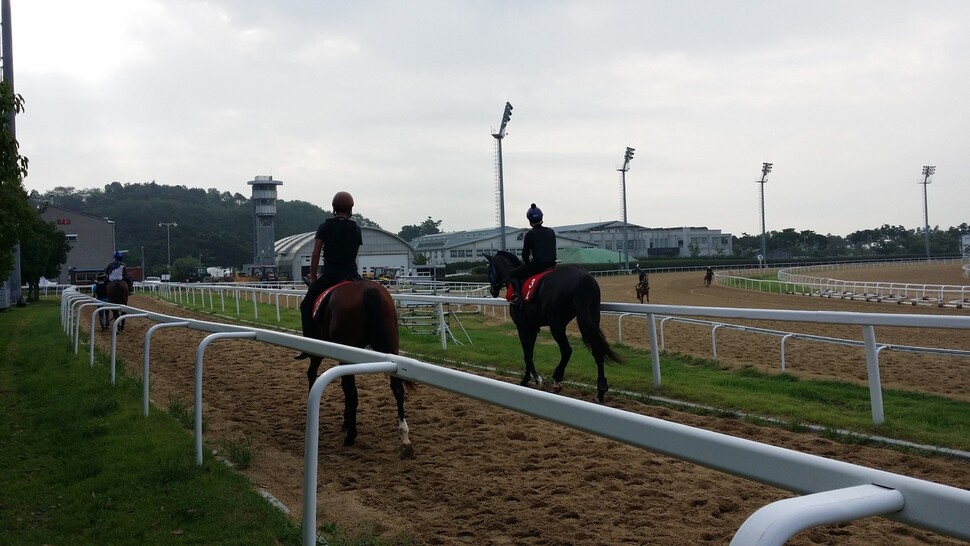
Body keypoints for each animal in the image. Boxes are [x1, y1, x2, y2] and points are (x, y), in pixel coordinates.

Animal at [304, 278, 414, 456]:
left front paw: (346, 422)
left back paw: (351, 435)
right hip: (390, 346)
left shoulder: (320, 348)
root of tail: (369, 290)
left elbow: (315, 374)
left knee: (351, 391)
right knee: (397, 388)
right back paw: (405, 438)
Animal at [484, 250, 620, 400]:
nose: (493, 291)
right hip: (591, 318)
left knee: (567, 350)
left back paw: (557, 379)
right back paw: (601, 391)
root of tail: (583, 277)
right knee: (597, 350)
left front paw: (536, 379)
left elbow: (527, 353)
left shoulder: (522, 327)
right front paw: (527, 379)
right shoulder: (533, 328)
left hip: (556, 325)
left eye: (488, 269)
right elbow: (530, 352)